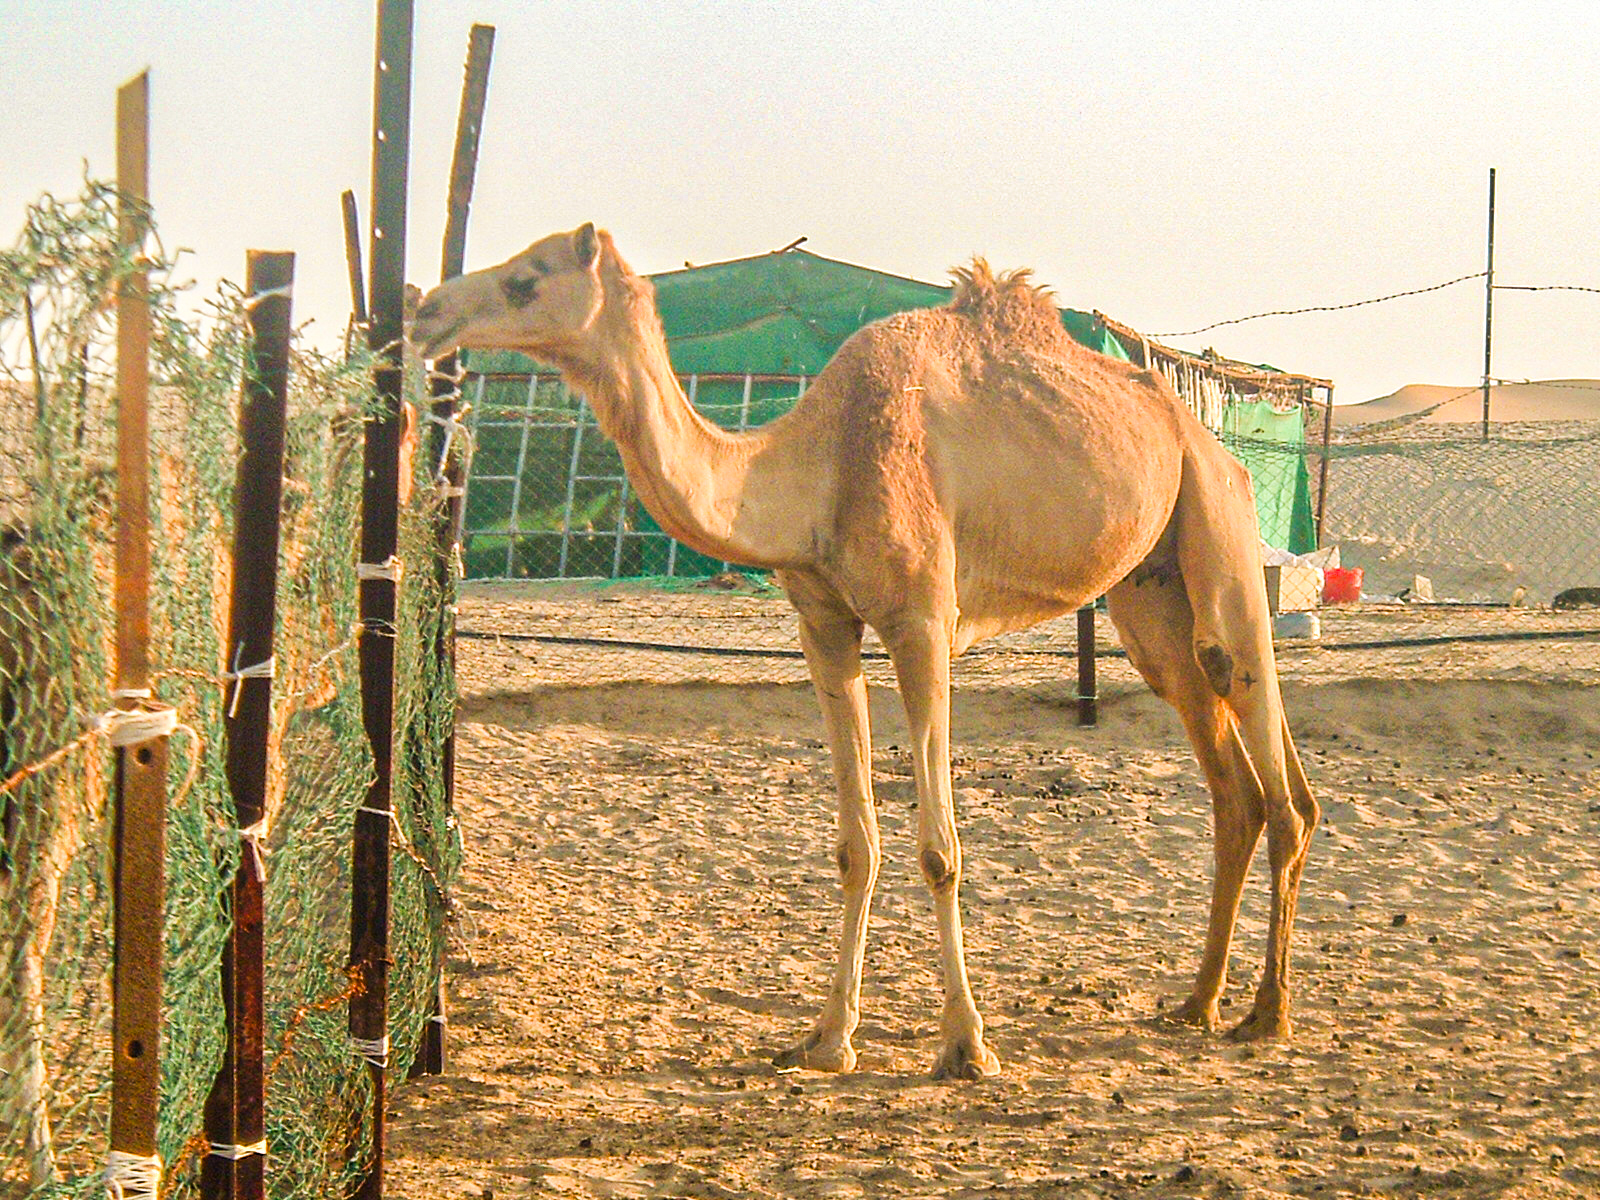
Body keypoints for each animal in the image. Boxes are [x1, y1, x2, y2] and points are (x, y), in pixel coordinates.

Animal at [412, 225, 1320, 1079]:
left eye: (526, 278)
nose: (426, 309)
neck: (819, 466)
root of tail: (1201, 431)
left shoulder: (922, 622)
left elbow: (939, 849)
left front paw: (966, 1046)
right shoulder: (823, 624)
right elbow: (856, 844)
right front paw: (827, 1039)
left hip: (1220, 523)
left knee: (1271, 754)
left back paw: (1268, 1014)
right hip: (1150, 594)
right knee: (1228, 779)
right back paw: (1198, 1003)